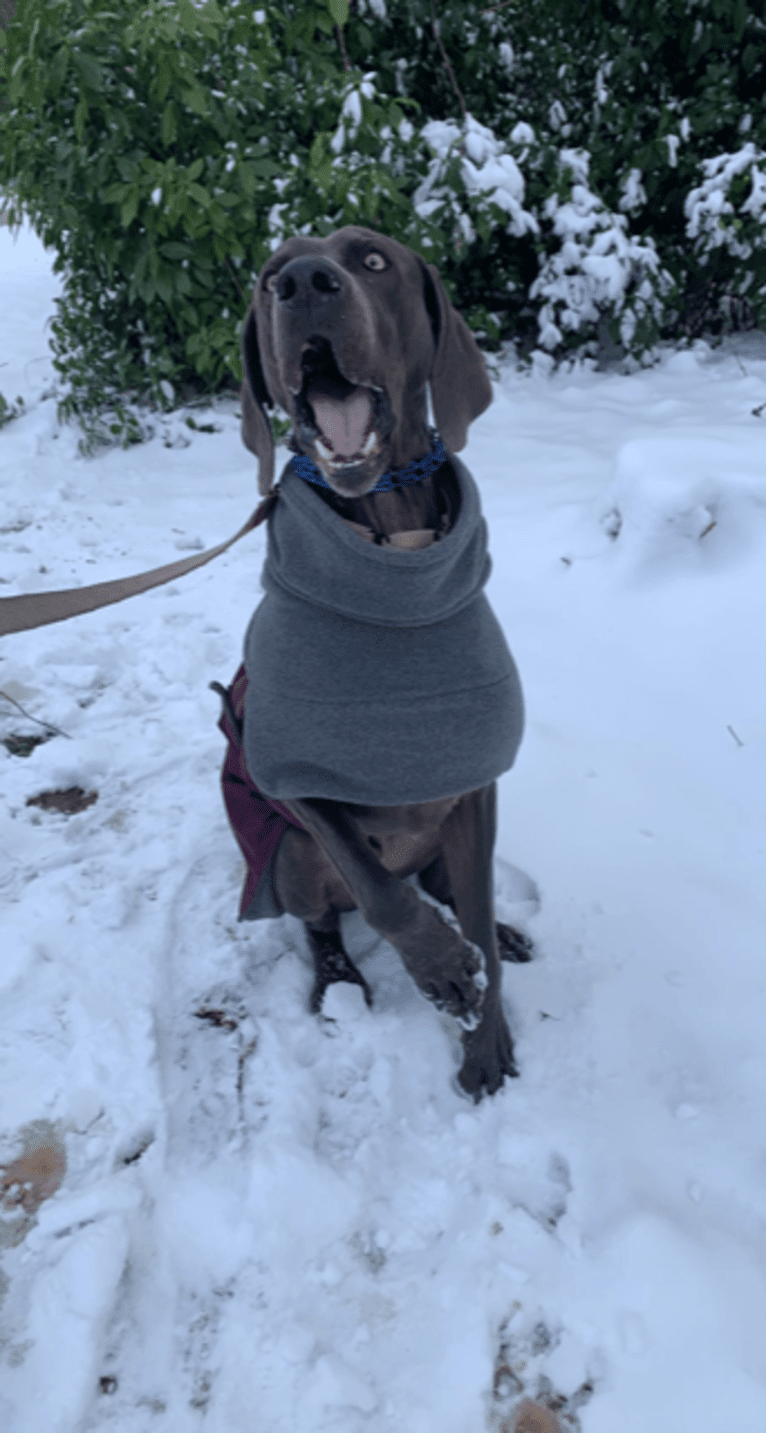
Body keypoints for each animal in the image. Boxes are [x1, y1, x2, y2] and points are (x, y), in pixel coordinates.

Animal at [236, 226, 529, 1094]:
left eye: (371, 260)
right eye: (268, 276)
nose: (302, 282)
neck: (392, 542)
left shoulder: (474, 785)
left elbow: (472, 913)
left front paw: (486, 1041)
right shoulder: (288, 772)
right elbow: (379, 892)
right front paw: (443, 971)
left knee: (456, 892)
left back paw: (507, 933)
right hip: (293, 860)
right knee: (333, 917)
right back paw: (339, 982)